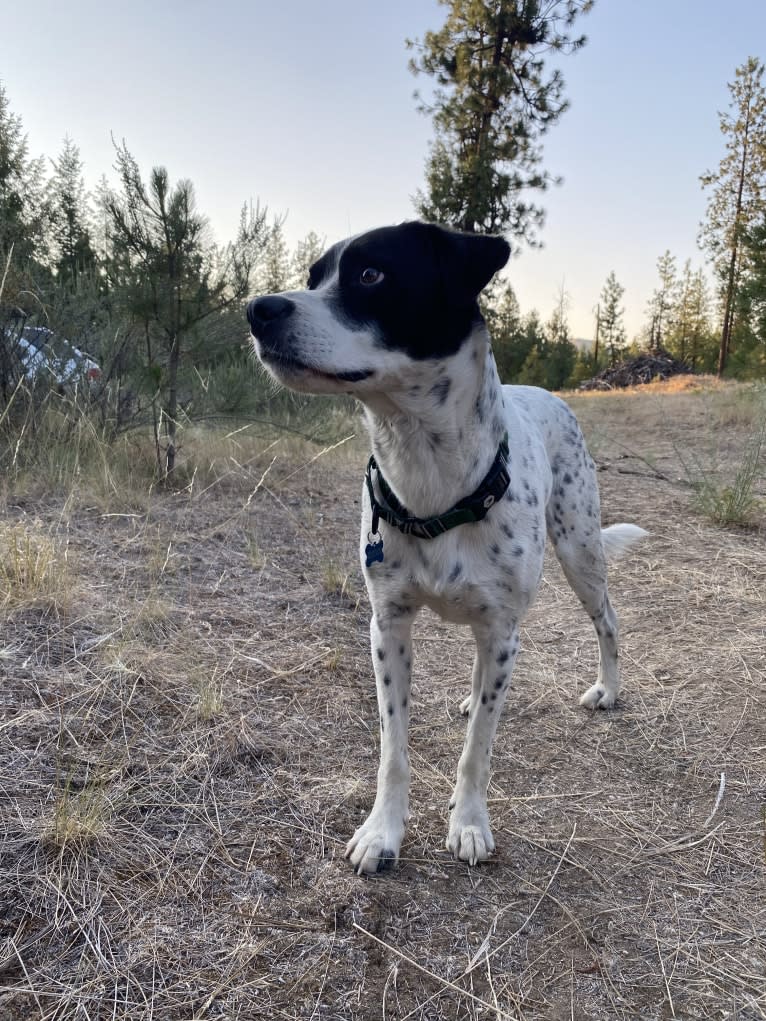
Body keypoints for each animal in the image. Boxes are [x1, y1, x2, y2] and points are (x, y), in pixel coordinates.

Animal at [247, 223, 649, 878]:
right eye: (313, 277)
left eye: (371, 274)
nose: (257, 309)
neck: (429, 480)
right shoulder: (387, 627)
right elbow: (394, 748)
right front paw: (382, 831)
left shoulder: (505, 629)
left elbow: (478, 748)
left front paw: (468, 823)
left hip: (579, 549)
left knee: (607, 620)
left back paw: (607, 690)